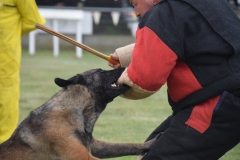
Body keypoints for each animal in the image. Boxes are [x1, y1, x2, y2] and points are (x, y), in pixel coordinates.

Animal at [0, 68, 159, 160]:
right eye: (101, 71)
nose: (125, 66)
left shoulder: (93, 147)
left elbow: (125, 145)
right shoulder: (83, 156)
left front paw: (150, 143)